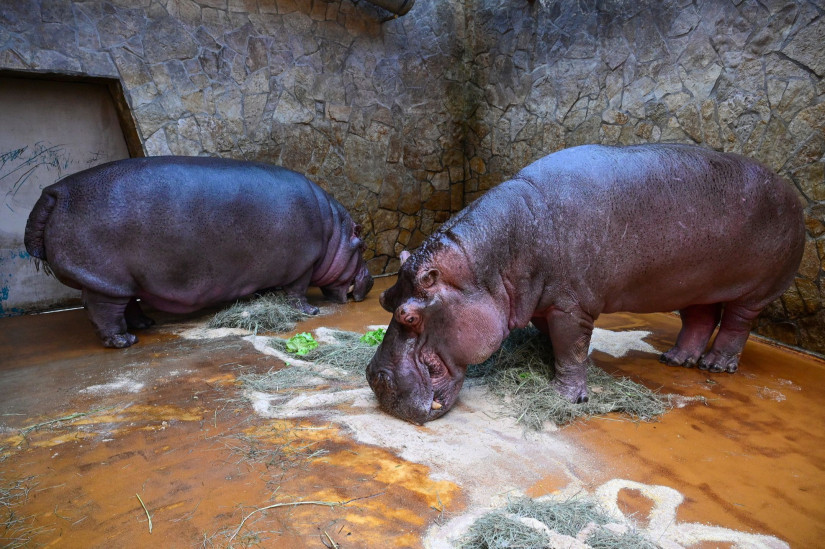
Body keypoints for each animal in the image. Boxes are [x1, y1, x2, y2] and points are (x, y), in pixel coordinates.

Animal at [24, 156, 374, 348]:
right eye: (362, 244)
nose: (370, 280)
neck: (334, 232)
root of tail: (54, 191)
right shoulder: (303, 265)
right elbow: (297, 292)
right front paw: (311, 312)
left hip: (122, 280)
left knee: (127, 306)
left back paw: (145, 325)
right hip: (106, 279)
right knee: (105, 312)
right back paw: (124, 342)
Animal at [367, 144, 805, 424]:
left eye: (409, 316)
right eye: (386, 298)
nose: (374, 378)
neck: (491, 264)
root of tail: (791, 190)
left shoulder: (570, 306)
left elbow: (571, 347)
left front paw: (566, 396)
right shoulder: (542, 301)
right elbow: (557, 344)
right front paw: (547, 365)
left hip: (757, 289)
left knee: (736, 324)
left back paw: (717, 366)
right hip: (693, 282)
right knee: (700, 318)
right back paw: (677, 360)